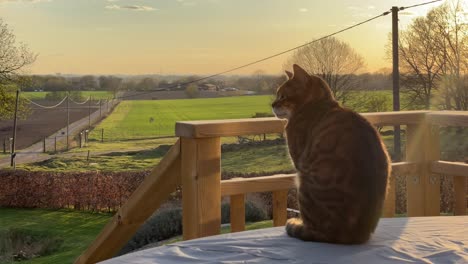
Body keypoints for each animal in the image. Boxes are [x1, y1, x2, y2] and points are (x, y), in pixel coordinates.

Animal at [270, 63, 392, 243]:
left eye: (283, 95)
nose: (272, 104)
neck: (318, 104)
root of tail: (354, 234)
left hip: (303, 180)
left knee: (312, 229)